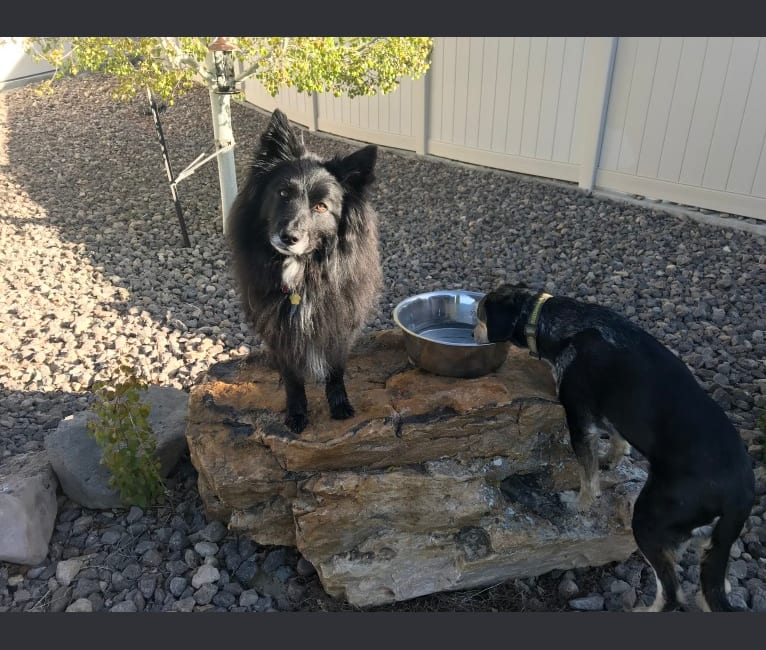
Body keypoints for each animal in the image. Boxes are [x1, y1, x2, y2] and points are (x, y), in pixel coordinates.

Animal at [228, 109, 384, 432]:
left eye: (321, 207)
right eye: (283, 193)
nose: (288, 237)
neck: (302, 271)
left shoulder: (339, 320)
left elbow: (335, 370)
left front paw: (340, 406)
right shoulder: (279, 329)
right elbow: (292, 378)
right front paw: (297, 414)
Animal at [474, 282, 756, 608]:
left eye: (480, 316)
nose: (473, 335)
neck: (560, 323)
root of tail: (741, 494)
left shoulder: (580, 419)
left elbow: (588, 476)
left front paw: (579, 504)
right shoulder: (608, 412)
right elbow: (617, 440)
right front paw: (613, 458)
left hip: (650, 518)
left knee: (671, 593)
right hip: (710, 542)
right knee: (715, 586)